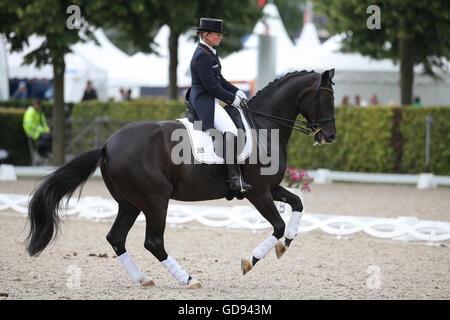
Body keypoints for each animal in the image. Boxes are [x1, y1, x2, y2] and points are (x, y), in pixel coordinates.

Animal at [24, 69, 334, 288]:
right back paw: (188, 279)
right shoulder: (257, 192)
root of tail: (108, 145)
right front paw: (251, 260)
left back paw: (142, 279)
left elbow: (298, 204)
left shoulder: (272, 187)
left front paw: (286, 244)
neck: (263, 126)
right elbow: (278, 225)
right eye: (326, 98)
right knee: (153, 242)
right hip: (155, 200)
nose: (330, 137)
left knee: (117, 238)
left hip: (130, 202)